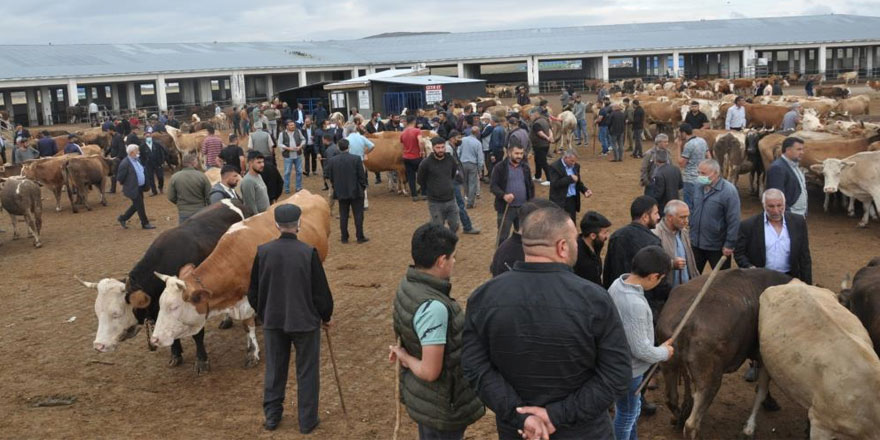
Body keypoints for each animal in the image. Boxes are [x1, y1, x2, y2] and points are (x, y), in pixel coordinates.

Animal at [77, 199, 248, 372]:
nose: (98, 345)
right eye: (97, 313)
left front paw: (201, 360)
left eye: (116, 313)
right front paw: (176, 354)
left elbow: (197, 335)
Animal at [151, 192, 330, 368]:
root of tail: (307, 193)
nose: (154, 340)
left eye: (174, 307)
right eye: (159, 305)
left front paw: (253, 353)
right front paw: (252, 350)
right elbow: (247, 326)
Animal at [656, 268, 796, 440]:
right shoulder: (764, 359)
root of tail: (686, 320)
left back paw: (679, 418)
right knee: (691, 424)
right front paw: (752, 425)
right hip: (711, 378)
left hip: (668, 365)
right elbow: (761, 391)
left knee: (671, 399)